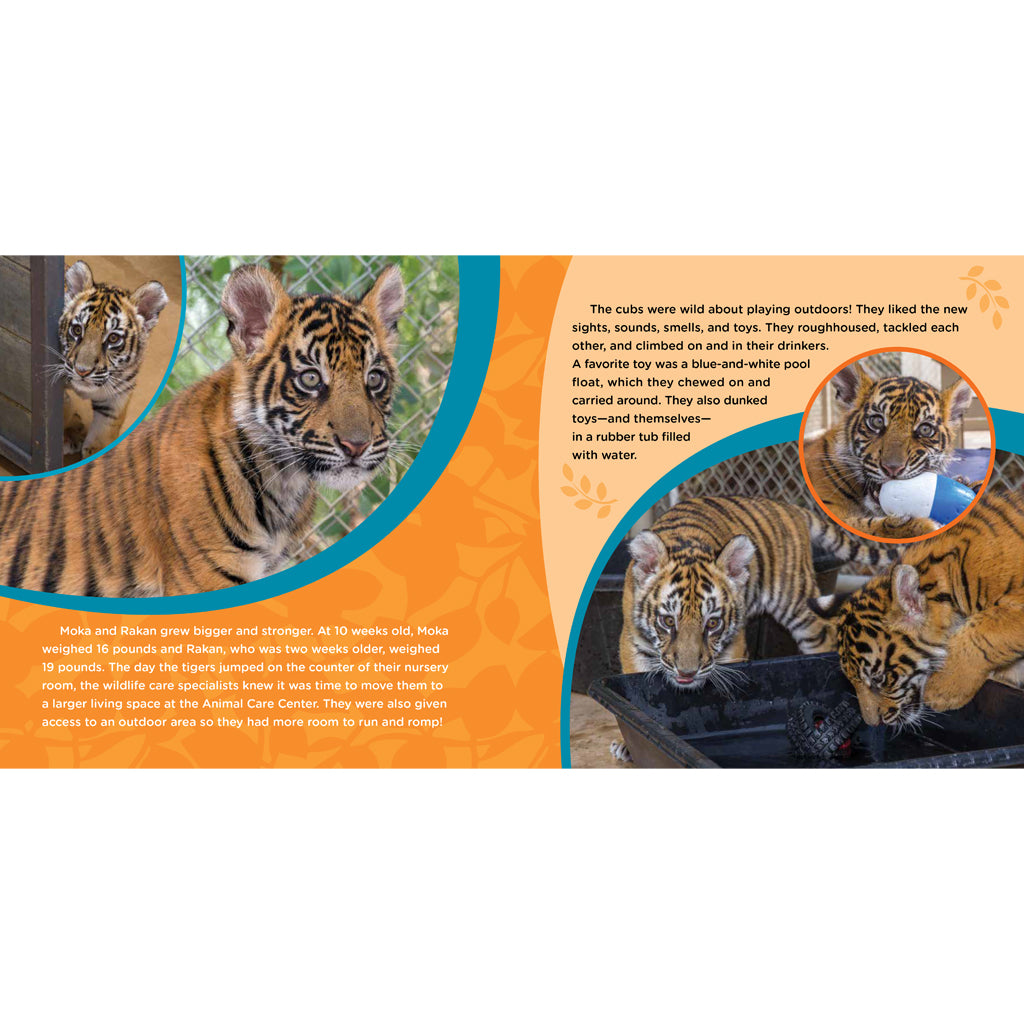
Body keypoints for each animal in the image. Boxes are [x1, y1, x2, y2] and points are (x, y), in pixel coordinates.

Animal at [60, 260, 169, 458]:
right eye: (77, 330)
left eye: (113, 338)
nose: (82, 371)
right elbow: (64, 405)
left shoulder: (117, 396)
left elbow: (103, 434)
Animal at [613, 496, 889, 761]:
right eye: (669, 621)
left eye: (712, 623)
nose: (687, 673)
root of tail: (787, 506)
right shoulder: (632, 641)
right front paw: (625, 744)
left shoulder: (733, 644)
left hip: (800, 607)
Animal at [803, 361, 976, 539]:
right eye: (877, 421)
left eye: (925, 429)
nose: (893, 468)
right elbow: (866, 525)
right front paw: (921, 525)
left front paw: (965, 483)